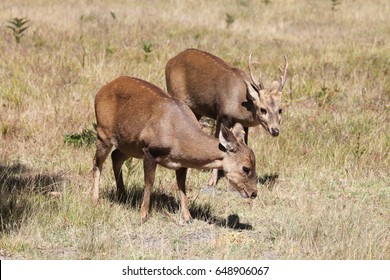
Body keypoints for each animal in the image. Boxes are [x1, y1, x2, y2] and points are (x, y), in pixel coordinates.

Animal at [92, 75, 258, 222]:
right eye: (246, 168)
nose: (254, 193)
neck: (178, 138)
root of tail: (101, 90)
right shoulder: (149, 151)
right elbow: (149, 182)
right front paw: (143, 215)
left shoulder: (182, 162)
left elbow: (181, 186)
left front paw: (187, 217)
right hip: (103, 132)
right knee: (97, 163)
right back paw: (96, 199)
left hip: (129, 145)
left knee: (116, 156)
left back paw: (122, 195)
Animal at [166, 48, 288, 186]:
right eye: (263, 109)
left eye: (280, 110)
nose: (275, 130)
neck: (241, 103)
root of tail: (170, 61)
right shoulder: (222, 115)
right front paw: (212, 180)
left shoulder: (243, 124)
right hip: (175, 93)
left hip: (196, 110)